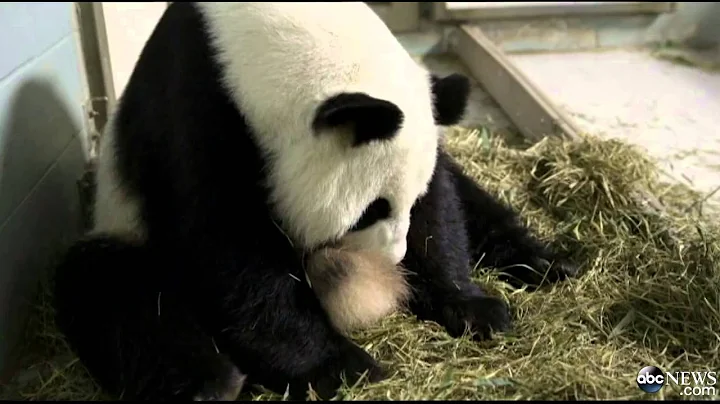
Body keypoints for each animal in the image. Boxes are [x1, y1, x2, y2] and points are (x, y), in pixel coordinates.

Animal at [50, 2, 580, 400]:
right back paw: (210, 383)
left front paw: (471, 307)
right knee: (114, 290)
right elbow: (227, 248)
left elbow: (443, 204)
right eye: (372, 210)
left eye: (405, 203)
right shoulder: (197, 109)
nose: (394, 260)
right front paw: (341, 365)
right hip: (120, 227)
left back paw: (546, 262)